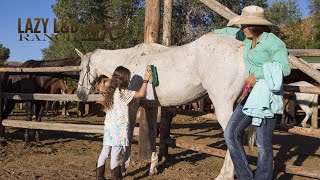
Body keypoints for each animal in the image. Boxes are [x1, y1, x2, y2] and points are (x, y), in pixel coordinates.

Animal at [76, 32, 246, 180]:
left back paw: (225, 175)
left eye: (82, 69)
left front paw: (124, 167)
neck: (130, 59)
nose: (80, 94)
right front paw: (153, 167)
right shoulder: (151, 107)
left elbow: (129, 133)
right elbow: (152, 134)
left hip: (223, 105)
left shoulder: (132, 105)